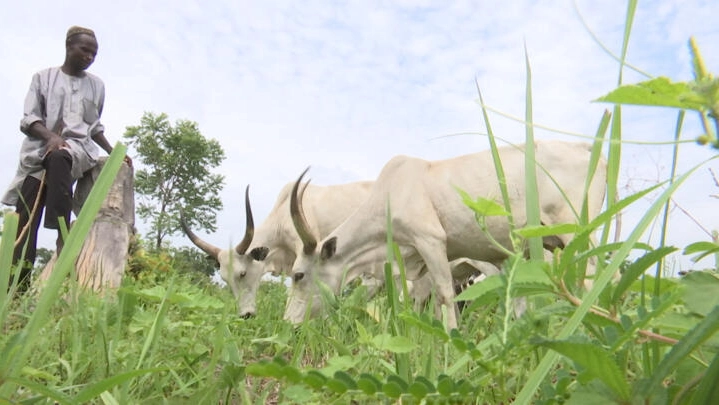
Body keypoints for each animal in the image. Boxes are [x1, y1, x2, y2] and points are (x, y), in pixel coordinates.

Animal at [286, 140, 608, 330]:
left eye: (298, 275)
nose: (288, 321)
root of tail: (585, 148)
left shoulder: (430, 241)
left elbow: (444, 296)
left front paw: (452, 338)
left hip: (576, 230)